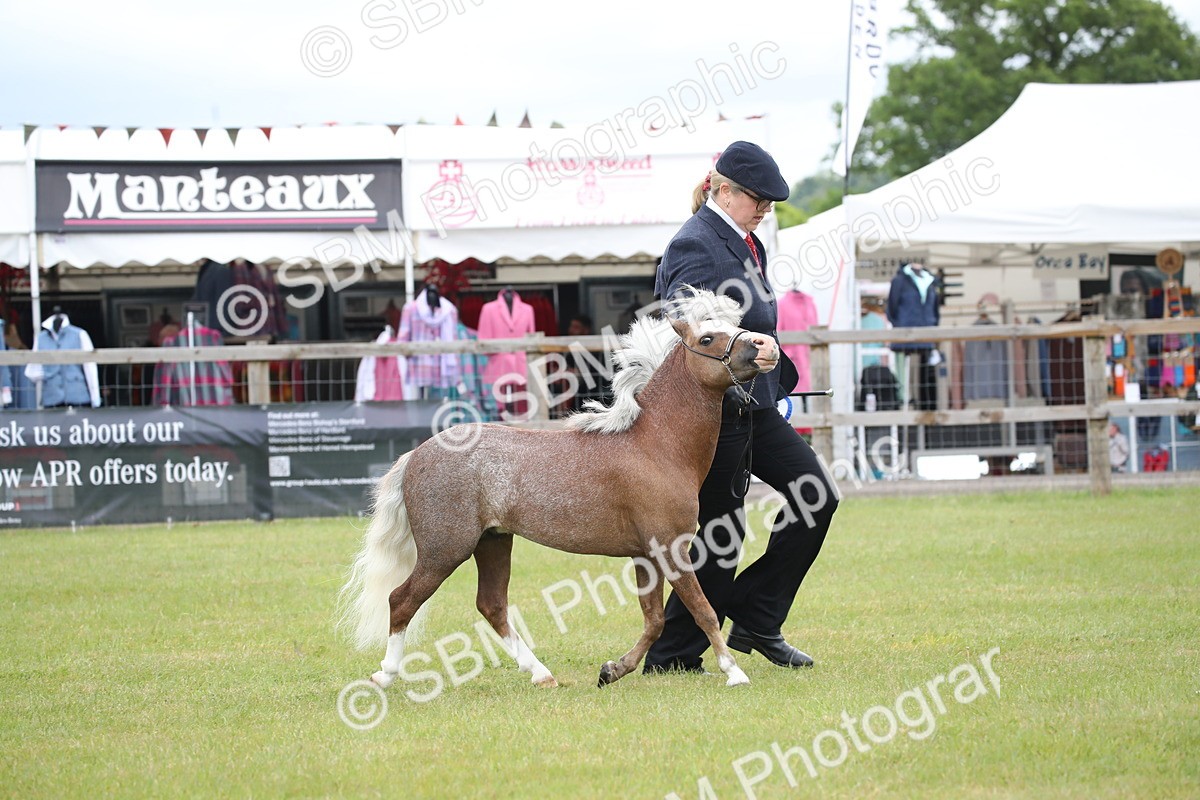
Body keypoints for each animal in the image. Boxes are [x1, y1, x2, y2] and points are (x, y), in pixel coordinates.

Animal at [339, 288, 780, 690]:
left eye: (736, 327)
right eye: (707, 338)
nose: (767, 347)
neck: (656, 444)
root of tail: (416, 455)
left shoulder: (646, 555)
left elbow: (653, 620)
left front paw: (611, 670)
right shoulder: (670, 550)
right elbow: (702, 610)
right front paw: (734, 672)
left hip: (493, 541)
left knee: (491, 605)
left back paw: (541, 674)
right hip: (445, 549)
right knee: (402, 599)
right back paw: (385, 675)